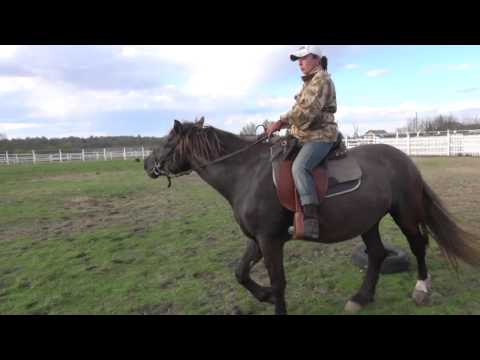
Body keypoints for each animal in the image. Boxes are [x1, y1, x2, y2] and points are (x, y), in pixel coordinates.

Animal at [144, 119, 480, 316]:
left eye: (166, 142)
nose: (147, 163)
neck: (246, 173)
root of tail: (405, 159)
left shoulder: (270, 240)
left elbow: (278, 281)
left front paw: (273, 300)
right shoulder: (259, 239)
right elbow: (240, 273)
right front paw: (264, 296)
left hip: (405, 213)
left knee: (418, 245)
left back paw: (421, 289)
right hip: (368, 221)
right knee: (376, 254)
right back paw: (361, 298)